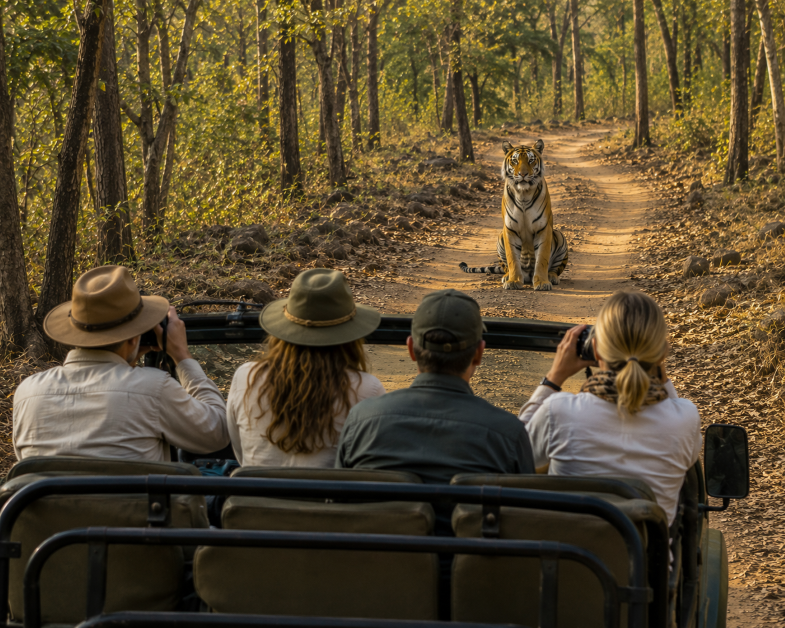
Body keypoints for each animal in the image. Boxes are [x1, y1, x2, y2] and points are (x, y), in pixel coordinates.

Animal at [459, 139, 568, 290]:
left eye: (531, 160)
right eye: (515, 161)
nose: (523, 174)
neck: (523, 194)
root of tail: (528, 276)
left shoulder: (543, 228)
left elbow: (542, 259)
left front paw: (542, 282)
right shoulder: (510, 229)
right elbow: (512, 259)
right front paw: (513, 281)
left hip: (559, 235)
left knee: (556, 268)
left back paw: (552, 277)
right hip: (500, 236)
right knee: (505, 267)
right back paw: (506, 277)